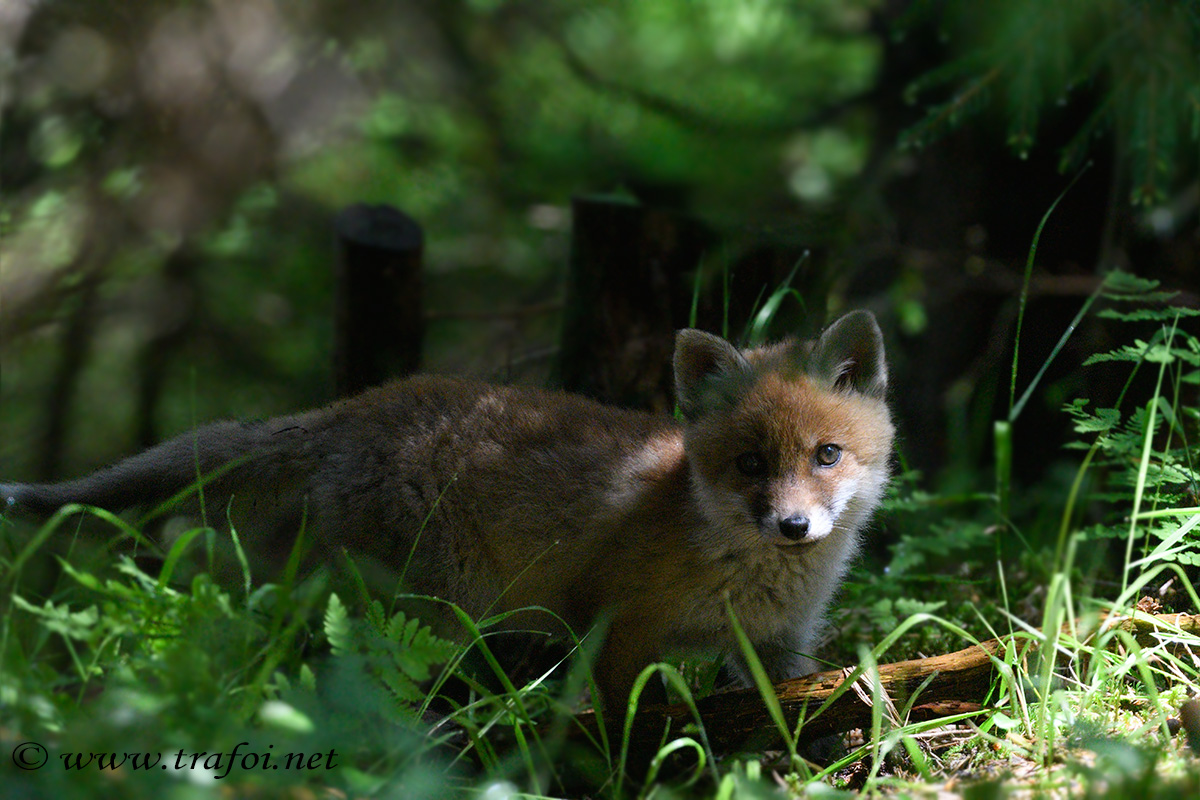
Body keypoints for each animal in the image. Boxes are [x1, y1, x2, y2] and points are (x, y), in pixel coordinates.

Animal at [2, 310, 894, 723]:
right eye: (749, 465)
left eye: (825, 455)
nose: (793, 528)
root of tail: (353, 408)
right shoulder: (616, 625)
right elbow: (622, 727)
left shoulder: (779, 648)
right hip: (439, 609)